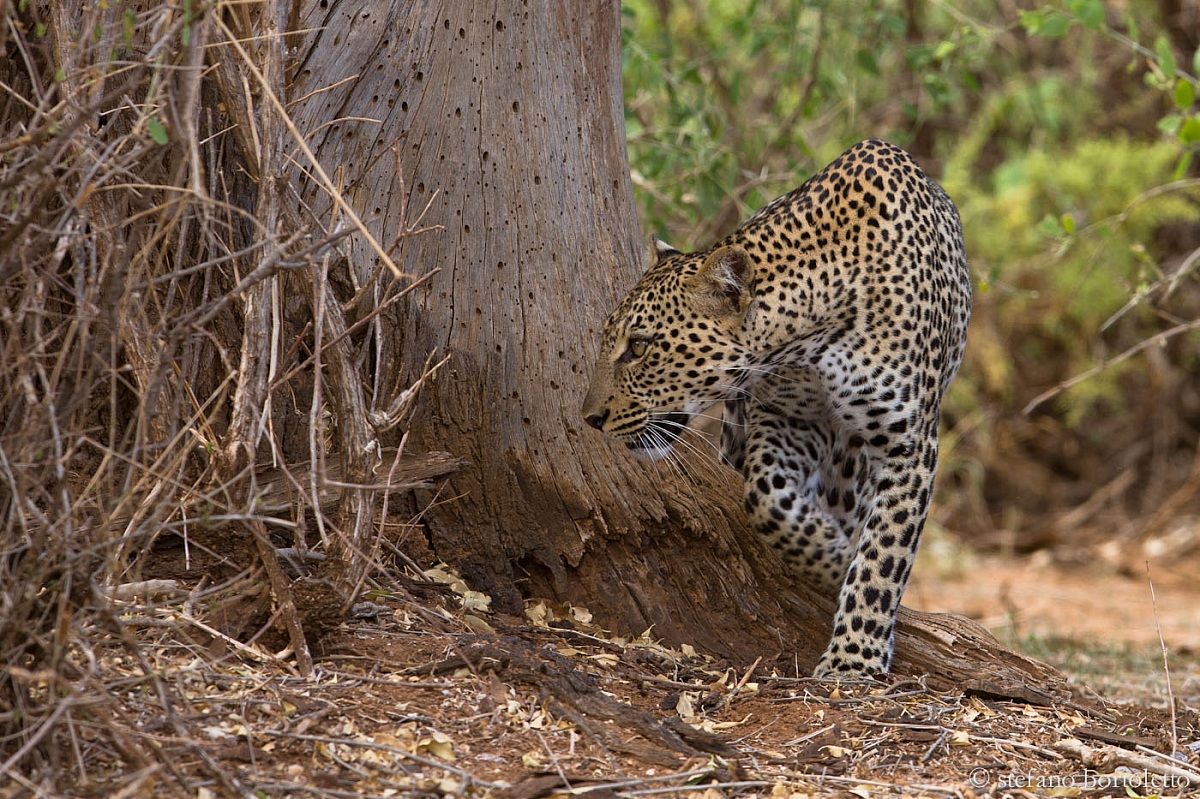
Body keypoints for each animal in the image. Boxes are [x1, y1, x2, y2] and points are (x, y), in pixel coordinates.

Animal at [581, 139, 972, 677]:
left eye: (639, 347)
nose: (590, 418)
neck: (811, 336)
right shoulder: (789, 418)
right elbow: (765, 497)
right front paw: (830, 557)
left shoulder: (907, 441)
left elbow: (884, 554)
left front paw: (854, 659)